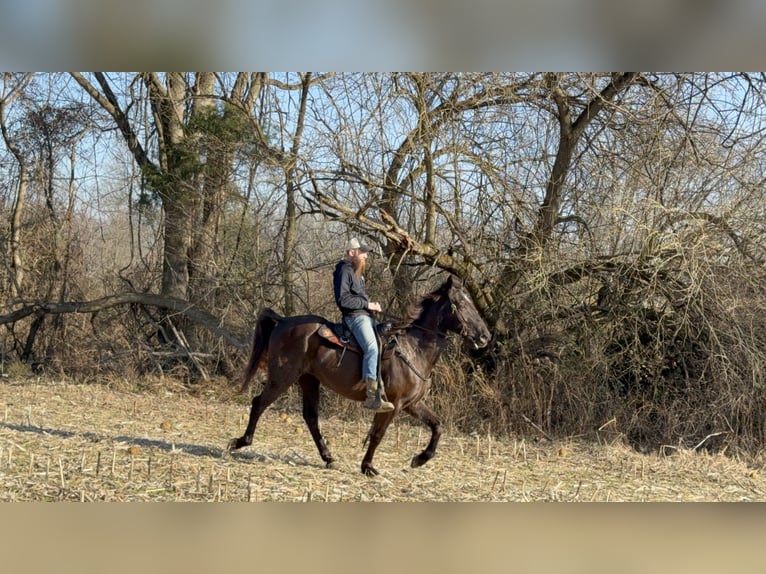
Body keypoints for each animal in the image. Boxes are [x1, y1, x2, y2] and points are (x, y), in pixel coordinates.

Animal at [228, 275, 492, 476]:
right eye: (461, 304)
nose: (485, 336)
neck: (412, 350)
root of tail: (283, 321)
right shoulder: (393, 405)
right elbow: (377, 435)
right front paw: (368, 467)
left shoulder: (412, 404)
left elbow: (437, 426)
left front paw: (420, 459)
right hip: (282, 377)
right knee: (259, 403)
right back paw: (240, 442)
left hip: (309, 380)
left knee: (310, 417)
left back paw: (328, 457)